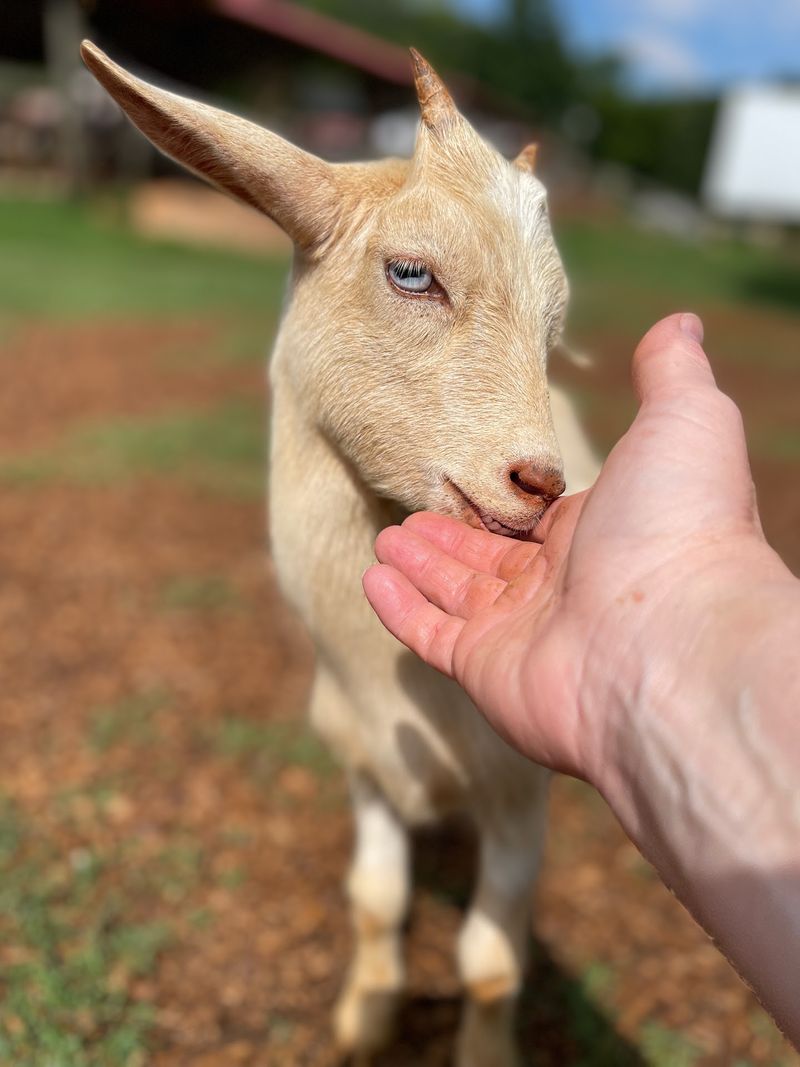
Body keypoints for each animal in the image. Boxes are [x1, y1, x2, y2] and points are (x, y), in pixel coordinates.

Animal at [82, 41, 600, 1066]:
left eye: (553, 329)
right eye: (410, 272)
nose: (539, 481)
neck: (404, 696)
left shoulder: (521, 791)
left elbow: (492, 963)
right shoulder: (363, 766)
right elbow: (374, 901)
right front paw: (364, 1020)